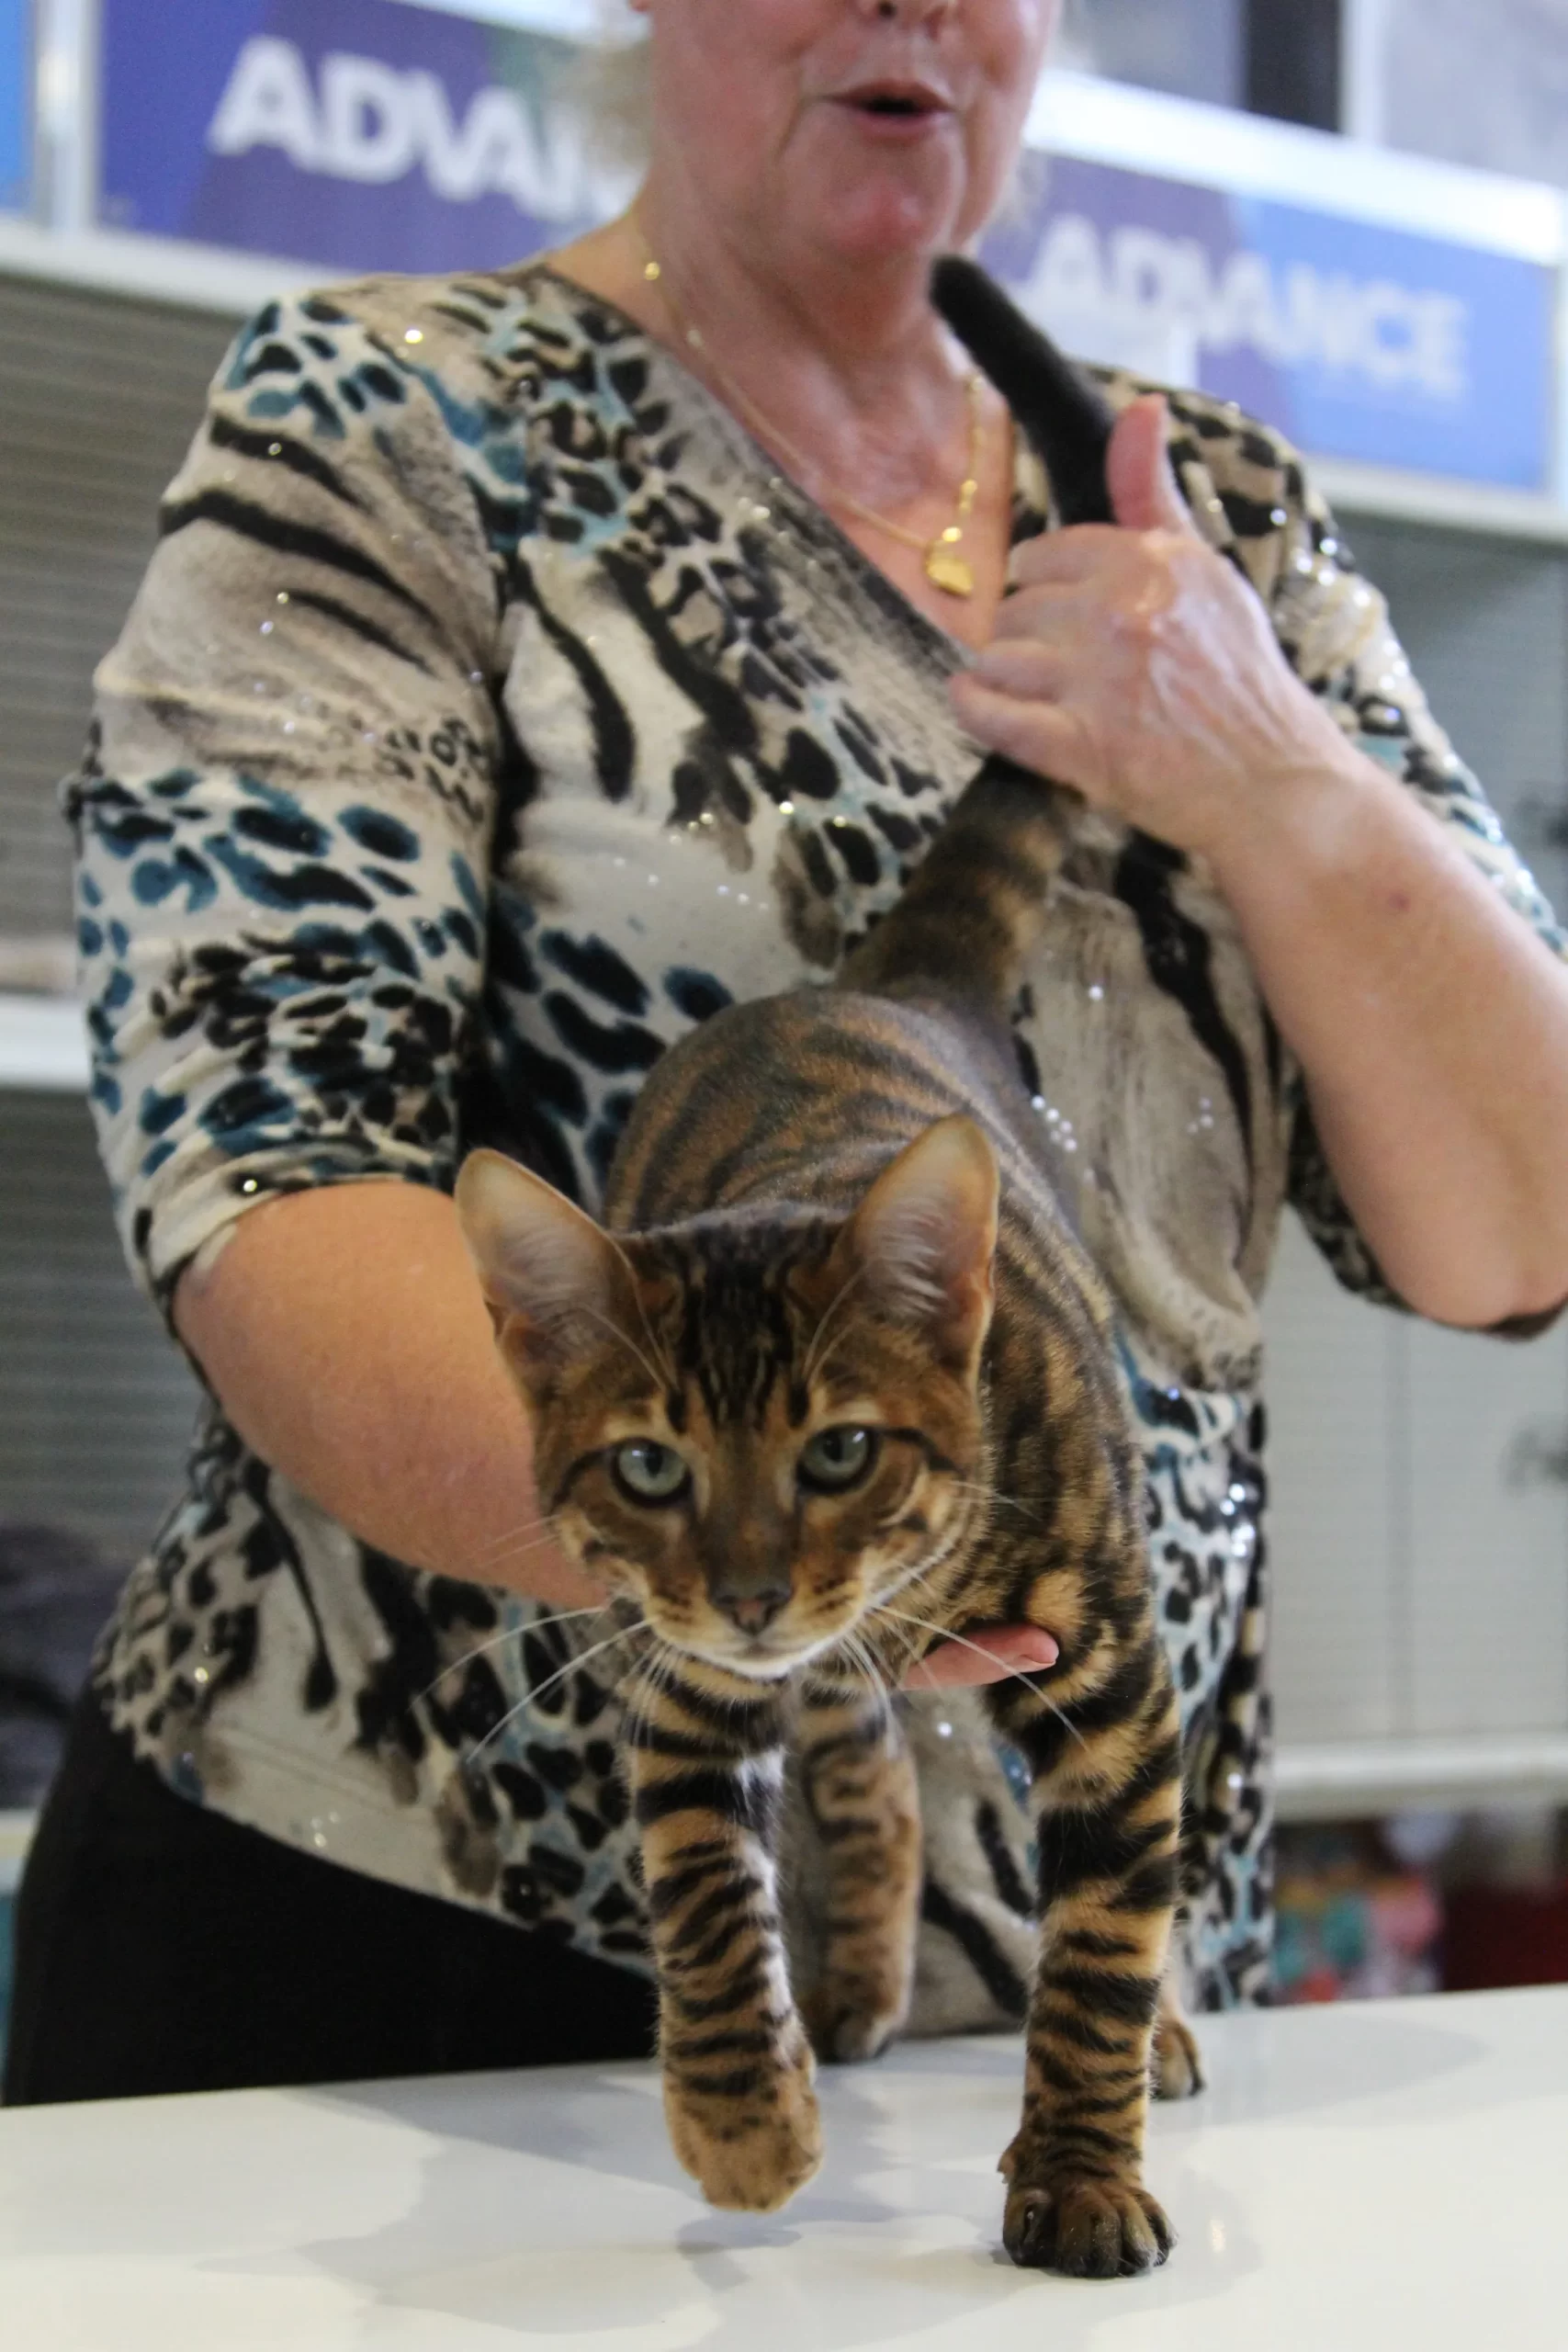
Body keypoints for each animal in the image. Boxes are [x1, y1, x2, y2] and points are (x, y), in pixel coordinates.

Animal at [456, 260, 1196, 2279]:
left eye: (841, 1447)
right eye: (648, 1463)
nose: (751, 1581)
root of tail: (893, 979)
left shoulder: (1118, 1679)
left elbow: (1100, 1944)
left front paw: (1077, 2170)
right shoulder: (678, 1686)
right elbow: (710, 1906)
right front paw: (737, 2123)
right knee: (858, 1740)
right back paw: (856, 1957)